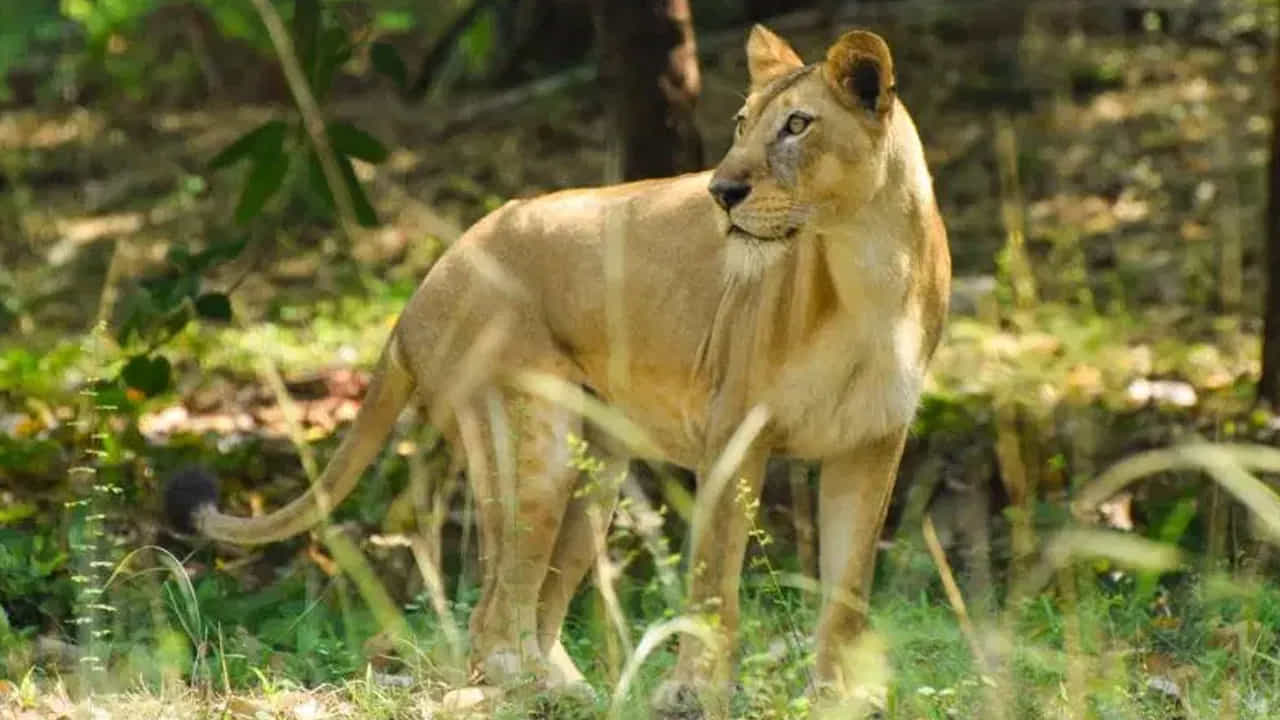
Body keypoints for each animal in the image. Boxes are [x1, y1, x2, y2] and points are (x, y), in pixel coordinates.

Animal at [167, 25, 949, 716]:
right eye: (740, 124)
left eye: (796, 125)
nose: (720, 191)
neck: (866, 268)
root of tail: (424, 285)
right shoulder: (734, 438)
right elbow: (712, 587)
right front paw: (691, 695)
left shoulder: (871, 446)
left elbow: (847, 591)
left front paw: (843, 700)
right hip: (528, 440)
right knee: (493, 616)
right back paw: (532, 694)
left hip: (595, 467)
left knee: (536, 610)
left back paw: (570, 691)